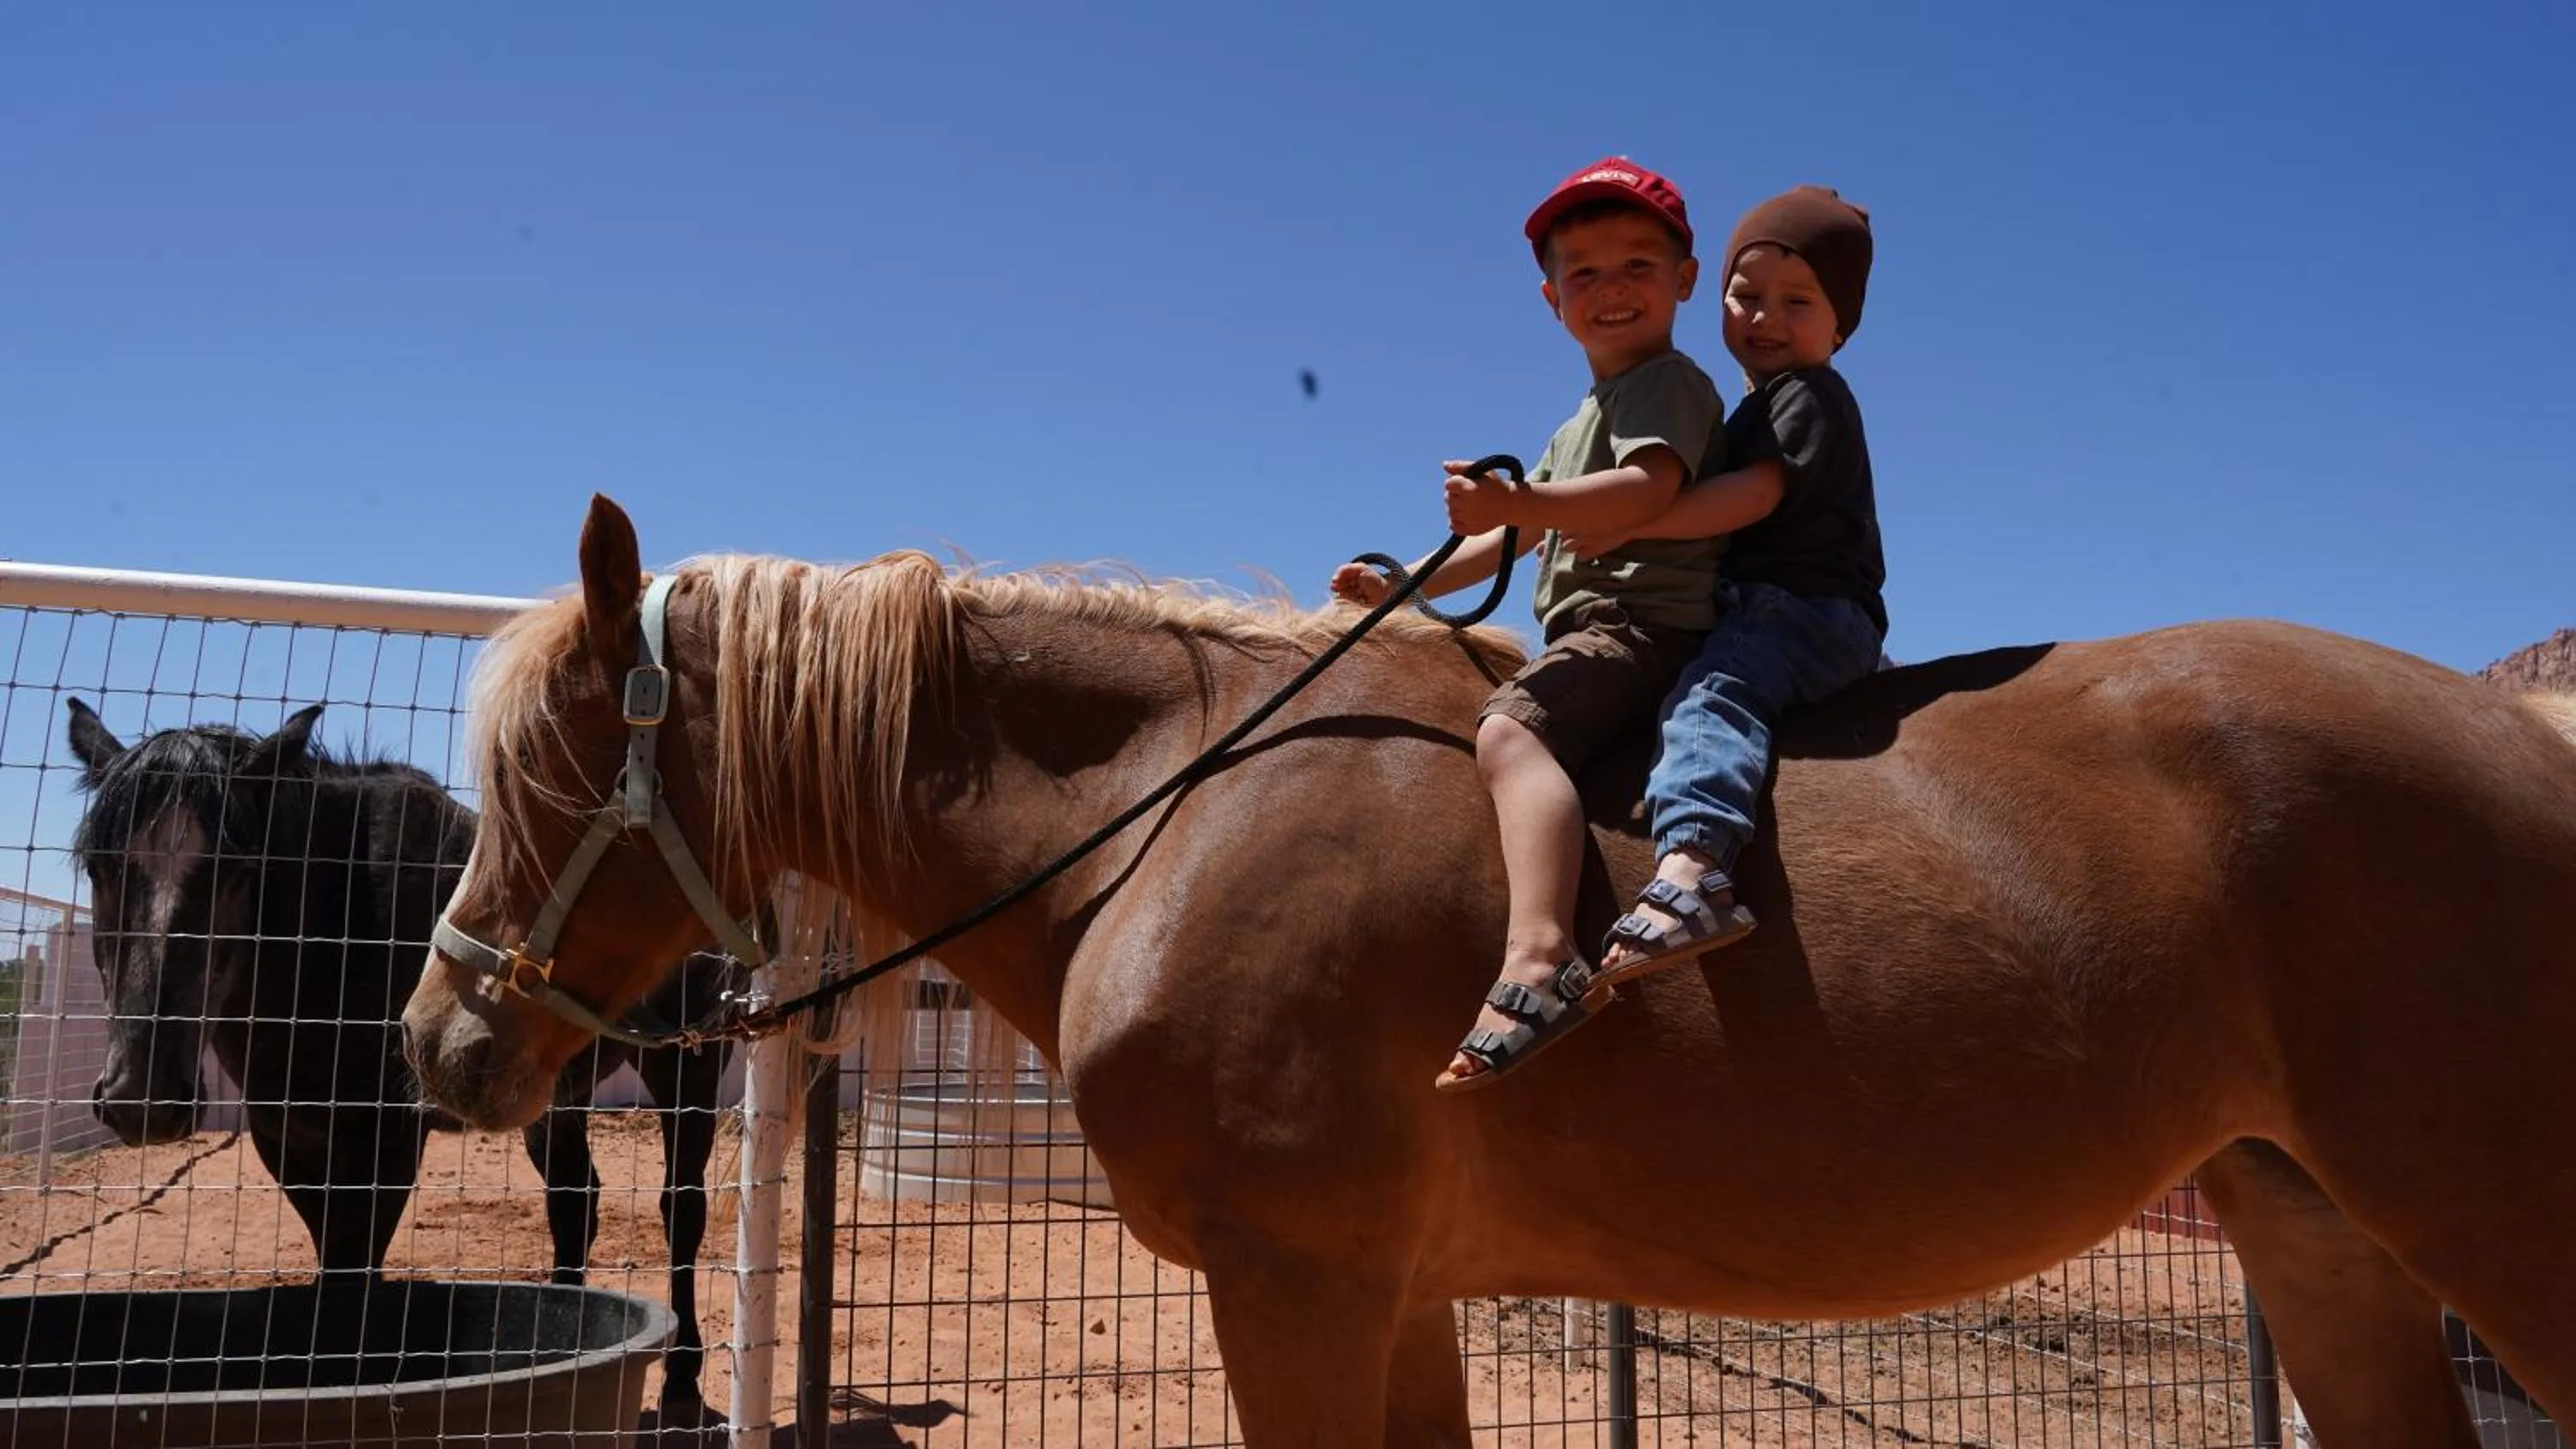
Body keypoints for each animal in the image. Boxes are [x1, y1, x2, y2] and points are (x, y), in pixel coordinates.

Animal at [64, 697, 742, 1426]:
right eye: (99, 868)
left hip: (689, 1066)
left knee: (682, 1208)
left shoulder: (384, 1143)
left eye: (240, 870)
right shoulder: (290, 1139)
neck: (336, 930)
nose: (143, 1098)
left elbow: (354, 1280)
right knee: (573, 1201)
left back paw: (681, 1381)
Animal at [402, 495, 2576, 1447]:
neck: (1169, 807)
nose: (437, 1033)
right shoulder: (1398, 1295)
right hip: (2313, 1231)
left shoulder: (1294, 1288)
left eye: (552, 761)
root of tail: (2524, 729)